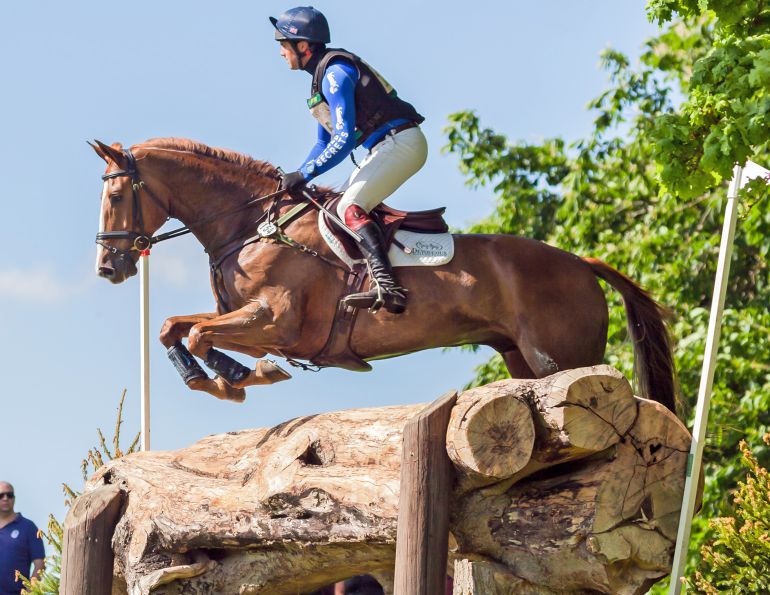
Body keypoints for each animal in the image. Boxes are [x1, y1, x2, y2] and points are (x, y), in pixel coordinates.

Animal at [91, 138, 676, 412]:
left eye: (116, 195)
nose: (107, 268)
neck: (251, 224)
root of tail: (580, 263)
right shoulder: (249, 321)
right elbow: (174, 327)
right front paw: (218, 378)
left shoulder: (276, 322)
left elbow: (197, 332)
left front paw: (239, 377)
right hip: (521, 360)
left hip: (561, 357)